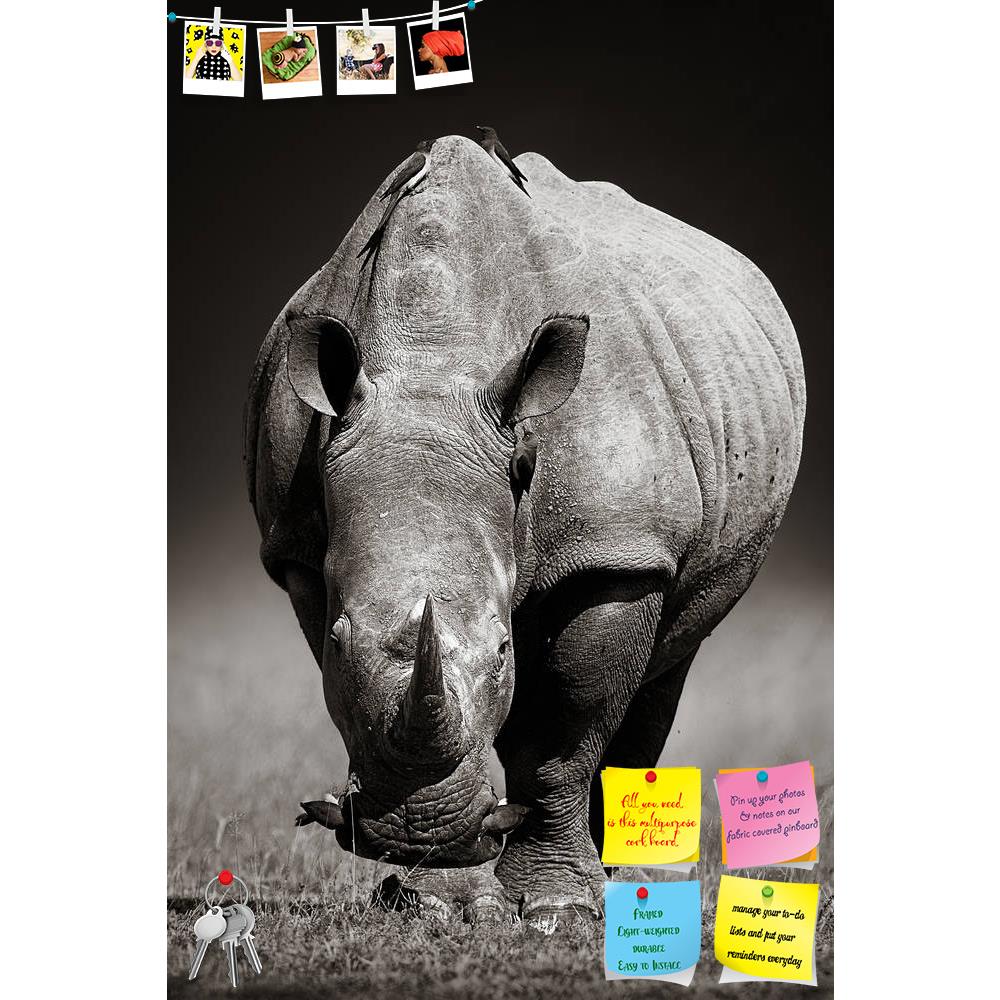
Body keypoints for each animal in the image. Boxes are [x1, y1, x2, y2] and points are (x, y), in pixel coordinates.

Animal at [243, 135, 805, 921]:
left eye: (504, 648)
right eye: (338, 637)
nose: (420, 829)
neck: (431, 367)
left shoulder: (614, 551)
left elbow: (562, 732)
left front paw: (554, 911)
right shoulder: (297, 549)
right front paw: (438, 900)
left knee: (669, 658)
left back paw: (617, 884)